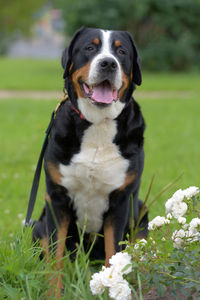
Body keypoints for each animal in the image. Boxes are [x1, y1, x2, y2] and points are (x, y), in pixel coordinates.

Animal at [32, 26, 148, 296]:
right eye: (90, 48)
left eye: (121, 52)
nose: (108, 63)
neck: (98, 125)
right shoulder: (57, 199)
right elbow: (56, 257)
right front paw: (54, 294)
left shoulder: (121, 201)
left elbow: (113, 256)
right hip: (38, 223)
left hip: (140, 212)